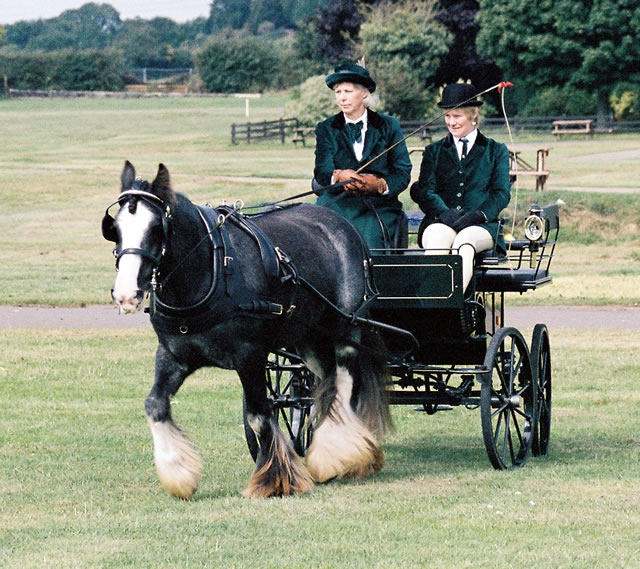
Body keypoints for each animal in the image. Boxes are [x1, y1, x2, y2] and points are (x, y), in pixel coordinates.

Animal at [101, 161, 390, 496]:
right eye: (115, 229)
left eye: (156, 229)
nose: (125, 294)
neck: (212, 269)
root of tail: (342, 225)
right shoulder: (173, 355)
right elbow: (155, 405)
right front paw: (179, 473)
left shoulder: (250, 355)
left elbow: (258, 415)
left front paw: (275, 480)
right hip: (310, 338)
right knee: (325, 384)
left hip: (346, 329)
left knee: (343, 382)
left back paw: (336, 454)